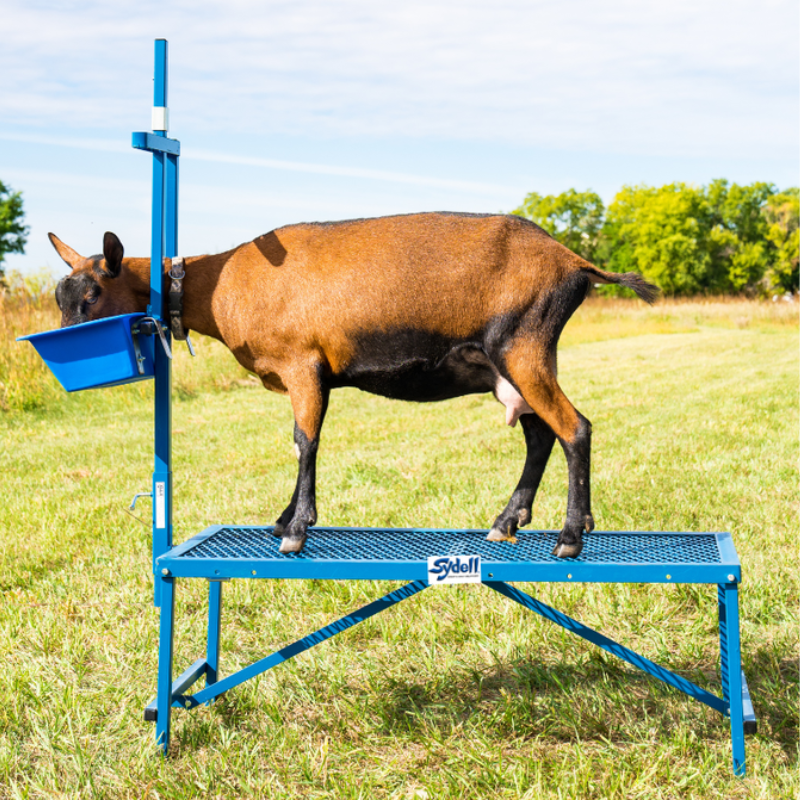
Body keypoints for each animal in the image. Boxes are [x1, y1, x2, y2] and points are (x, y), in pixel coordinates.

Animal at [51, 216, 656, 560]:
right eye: (60, 297)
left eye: (92, 297)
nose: (60, 346)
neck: (221, 284)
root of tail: (573, 260)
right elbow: (303, 442)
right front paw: (282, 520)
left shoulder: (303, 364)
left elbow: (304, 442)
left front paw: (296, 528)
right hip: (507, 367)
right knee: (539, 434)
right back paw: (508, 522)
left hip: (524, 346)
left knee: (575, 428)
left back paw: (570, 536)